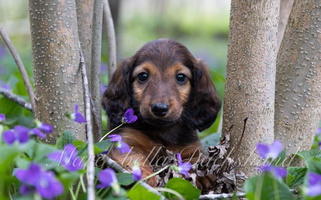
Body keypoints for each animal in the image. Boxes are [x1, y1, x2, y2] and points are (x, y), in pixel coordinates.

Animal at [102, 38, 220, 188]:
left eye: (181, 77)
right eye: (143, 76)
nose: (159, 108)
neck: (162, 132)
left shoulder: (190, 147)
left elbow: (195, 158)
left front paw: (203, 174)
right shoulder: (126, 142)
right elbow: (134, 157)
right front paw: (144, 176)